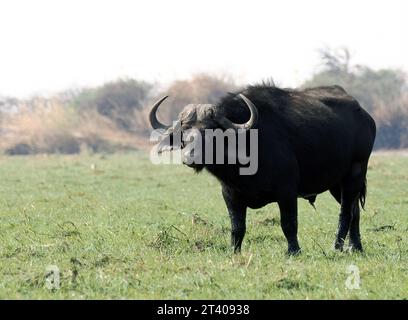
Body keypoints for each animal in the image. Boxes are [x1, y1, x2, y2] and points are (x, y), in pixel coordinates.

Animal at [149, 84, 376, 255]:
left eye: (210, 131)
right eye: (185, 131)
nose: (190, 157)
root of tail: (365, 116)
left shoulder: (287, 192)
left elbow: (289, 223)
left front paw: (293, 251)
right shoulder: (230, 195)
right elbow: (237, 227)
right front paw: (234, 251)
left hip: (355, 174)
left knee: (345, 212)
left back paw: (337, 247)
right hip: (336, 184)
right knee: (354, 211)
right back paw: (355, 247)